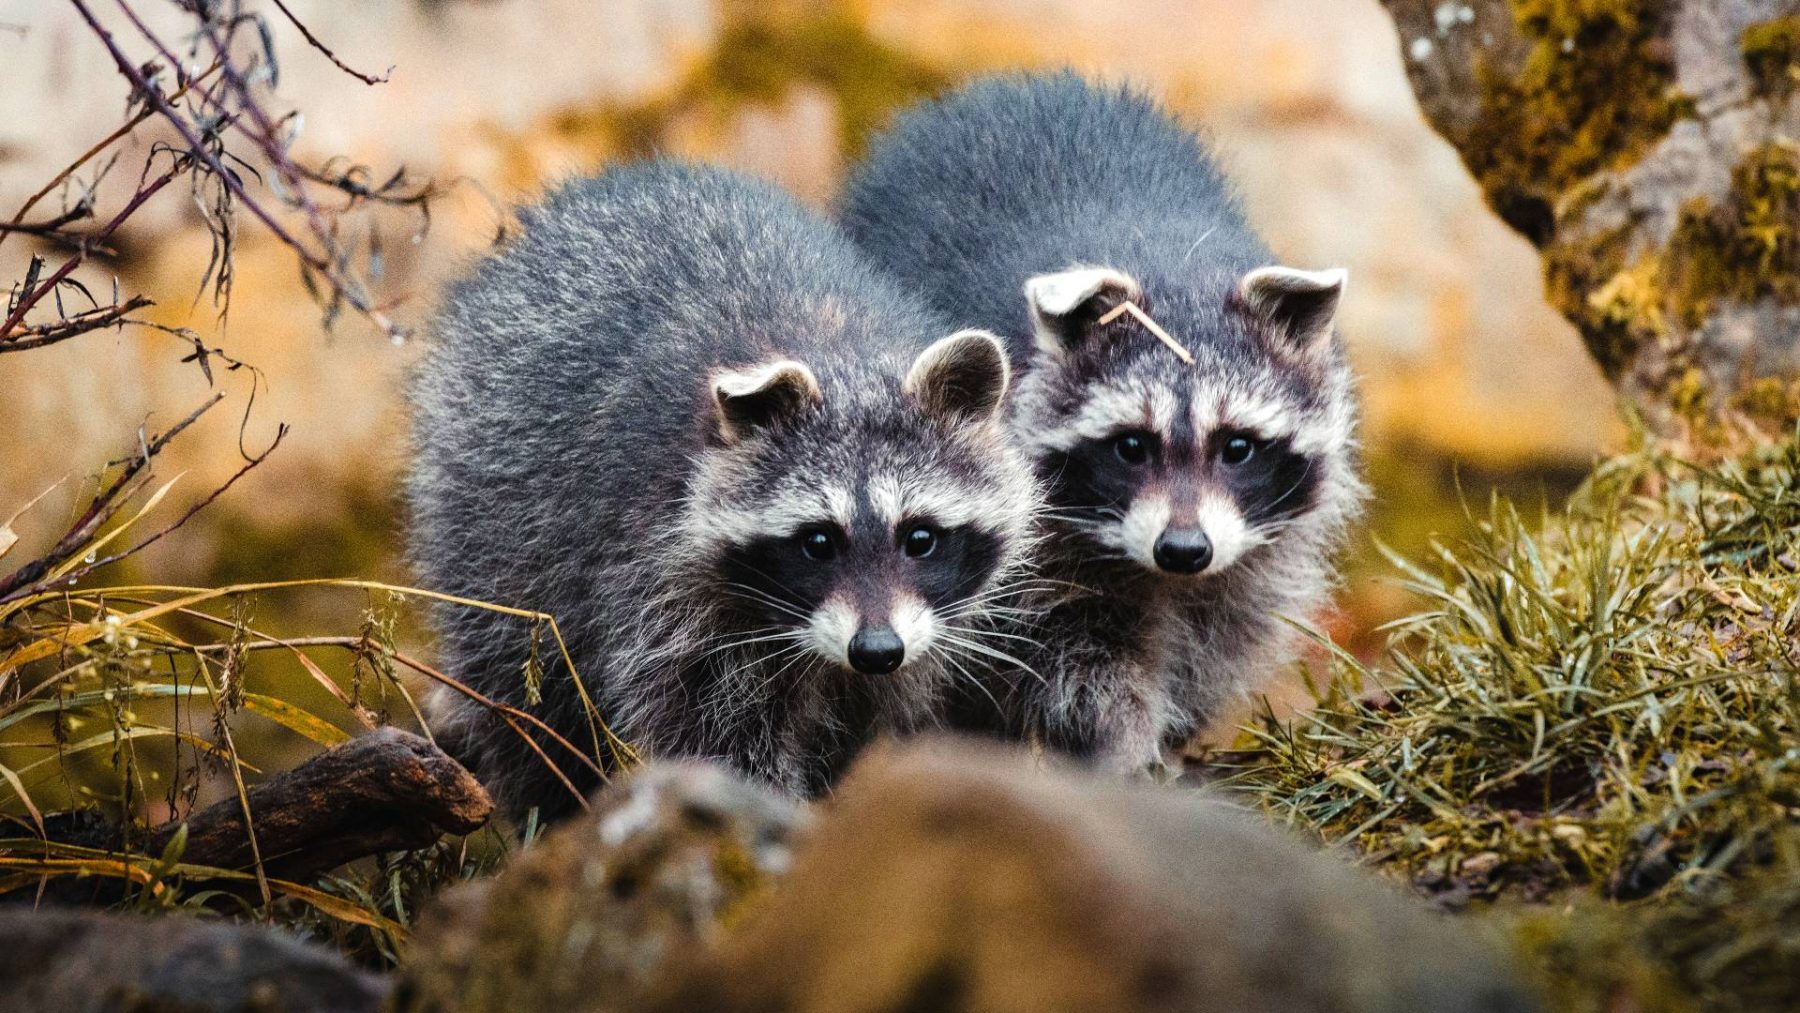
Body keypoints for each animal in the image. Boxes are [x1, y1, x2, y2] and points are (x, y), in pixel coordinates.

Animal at [401, 160, 1036, 824]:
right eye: (817, 541)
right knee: (524, 688)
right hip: (492, 509)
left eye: (920, 537)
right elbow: (713, 736)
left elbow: (879, 717)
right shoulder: (660, 575)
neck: (840, 356)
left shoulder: (923, 633)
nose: (876, 649)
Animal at [838, 75, 1360, 777]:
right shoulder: (1027, 543)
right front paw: (1120, 740)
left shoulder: (1257, 546)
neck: (1171, 264)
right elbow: (1071, 656)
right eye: (1131, 446)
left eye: (1238, 447)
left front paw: (1175, 728)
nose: (1183, 549)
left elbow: (1223, 631)